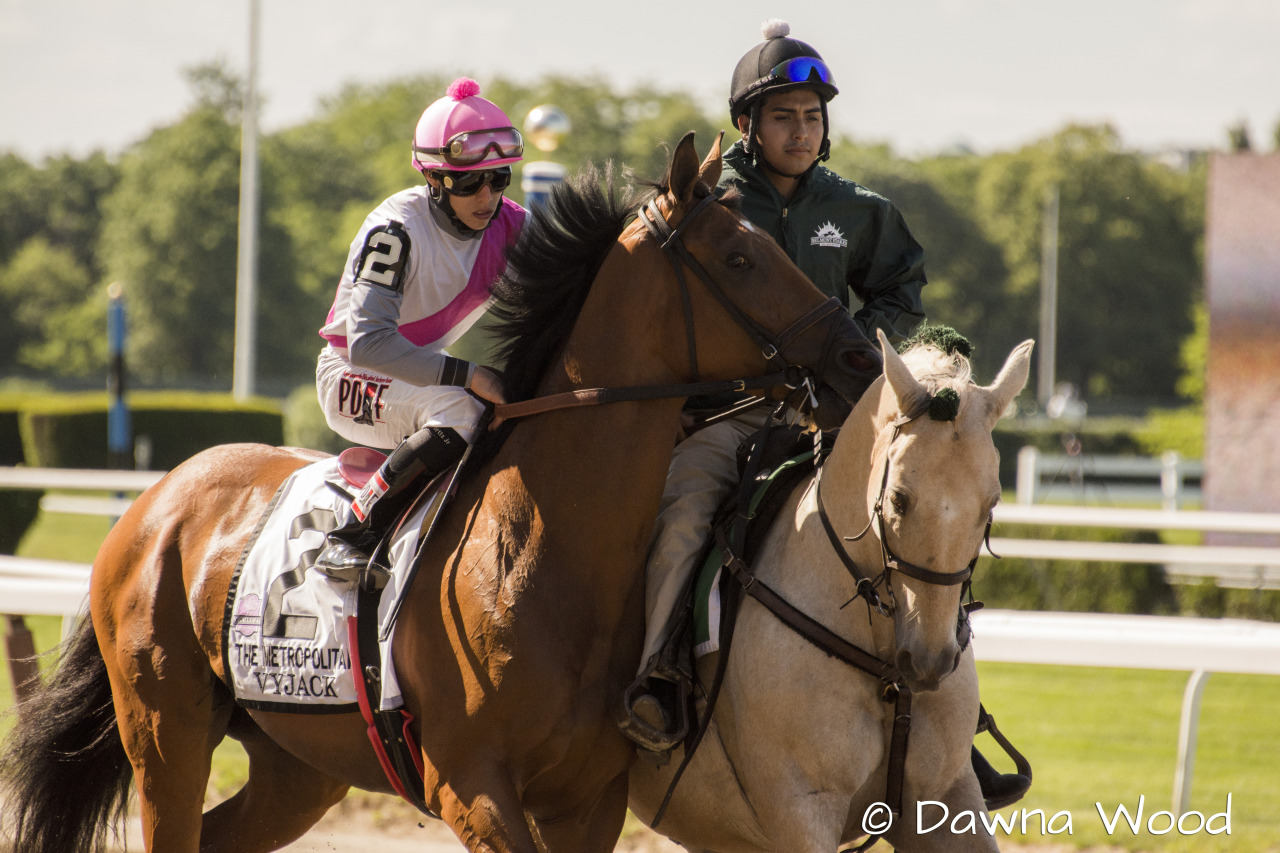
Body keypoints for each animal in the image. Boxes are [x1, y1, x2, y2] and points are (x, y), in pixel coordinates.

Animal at [0, 134, 880, 850]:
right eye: (740, 259)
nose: (859, 359)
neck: (544, 552)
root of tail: (155, 500)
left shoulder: (587, 798)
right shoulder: (471, 785)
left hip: (297, 759)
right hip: (166, 731)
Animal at [624, 330, 1034, 850]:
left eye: (991, 504)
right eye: (898, 498)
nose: (930, 661)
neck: (885, 662)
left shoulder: (947, 799)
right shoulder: (802, 810)